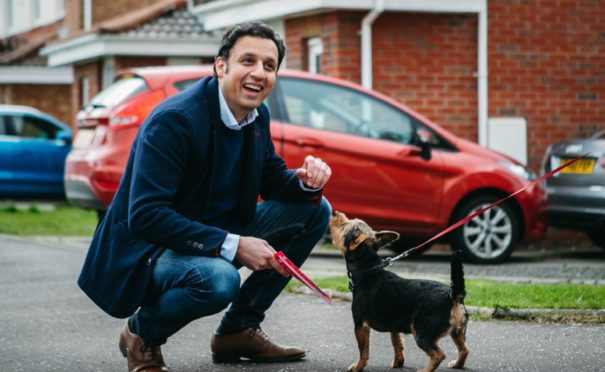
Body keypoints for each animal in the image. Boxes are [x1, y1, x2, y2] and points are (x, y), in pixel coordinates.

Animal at [330, 212, 468, 372]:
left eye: (343, 226)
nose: (335, 213)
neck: (368, 269)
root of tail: (452, 295)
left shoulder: (360, 325)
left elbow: (363, 351)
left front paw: (358, 367)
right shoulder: (394, 326)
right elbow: (397, 344)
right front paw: (398, 363)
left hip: (422, 333)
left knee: (439, 355)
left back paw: (425, 370)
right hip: (457, 332)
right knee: (464, 350)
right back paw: (457, 364)